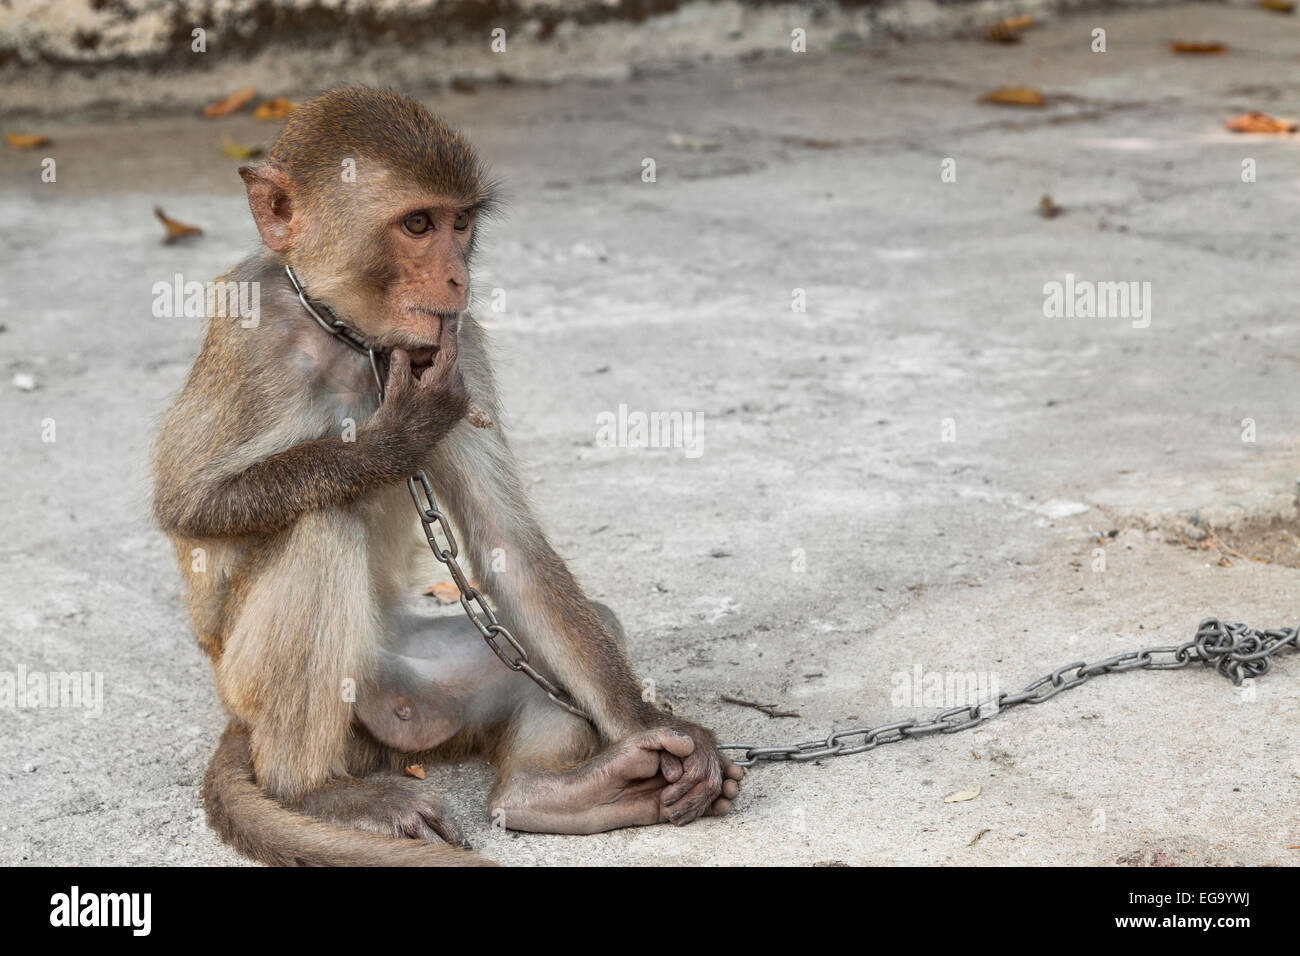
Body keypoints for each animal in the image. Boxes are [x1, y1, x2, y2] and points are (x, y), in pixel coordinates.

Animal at [152, 86, 743, 866]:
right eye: (417, 224)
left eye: (461, 224)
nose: (460, 277)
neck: (350, 337)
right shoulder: (252, 328)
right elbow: (187, 503)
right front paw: (399, 437)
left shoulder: (463, 346)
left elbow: (509, 544)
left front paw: (648, 725)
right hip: (252, 682)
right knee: (319, 524)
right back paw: (314, 792)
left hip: (432, 681)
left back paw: (561, 792)